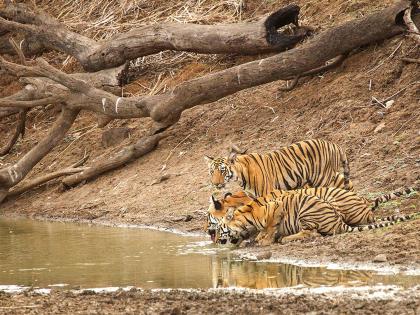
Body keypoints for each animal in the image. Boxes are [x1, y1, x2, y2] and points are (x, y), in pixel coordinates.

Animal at [205, 139, 352, 198]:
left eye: (222, 170)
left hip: (322, 178)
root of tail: (334, 144)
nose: (216, 184)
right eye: (212, 172)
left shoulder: (266, 192)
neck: (241, 177)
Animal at [205, 186, 416, 241]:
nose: (207, 231)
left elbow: (269, 227)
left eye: (208, 218)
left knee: (312, 232)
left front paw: (263, 239)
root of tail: (366, 201)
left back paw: (286, 238)